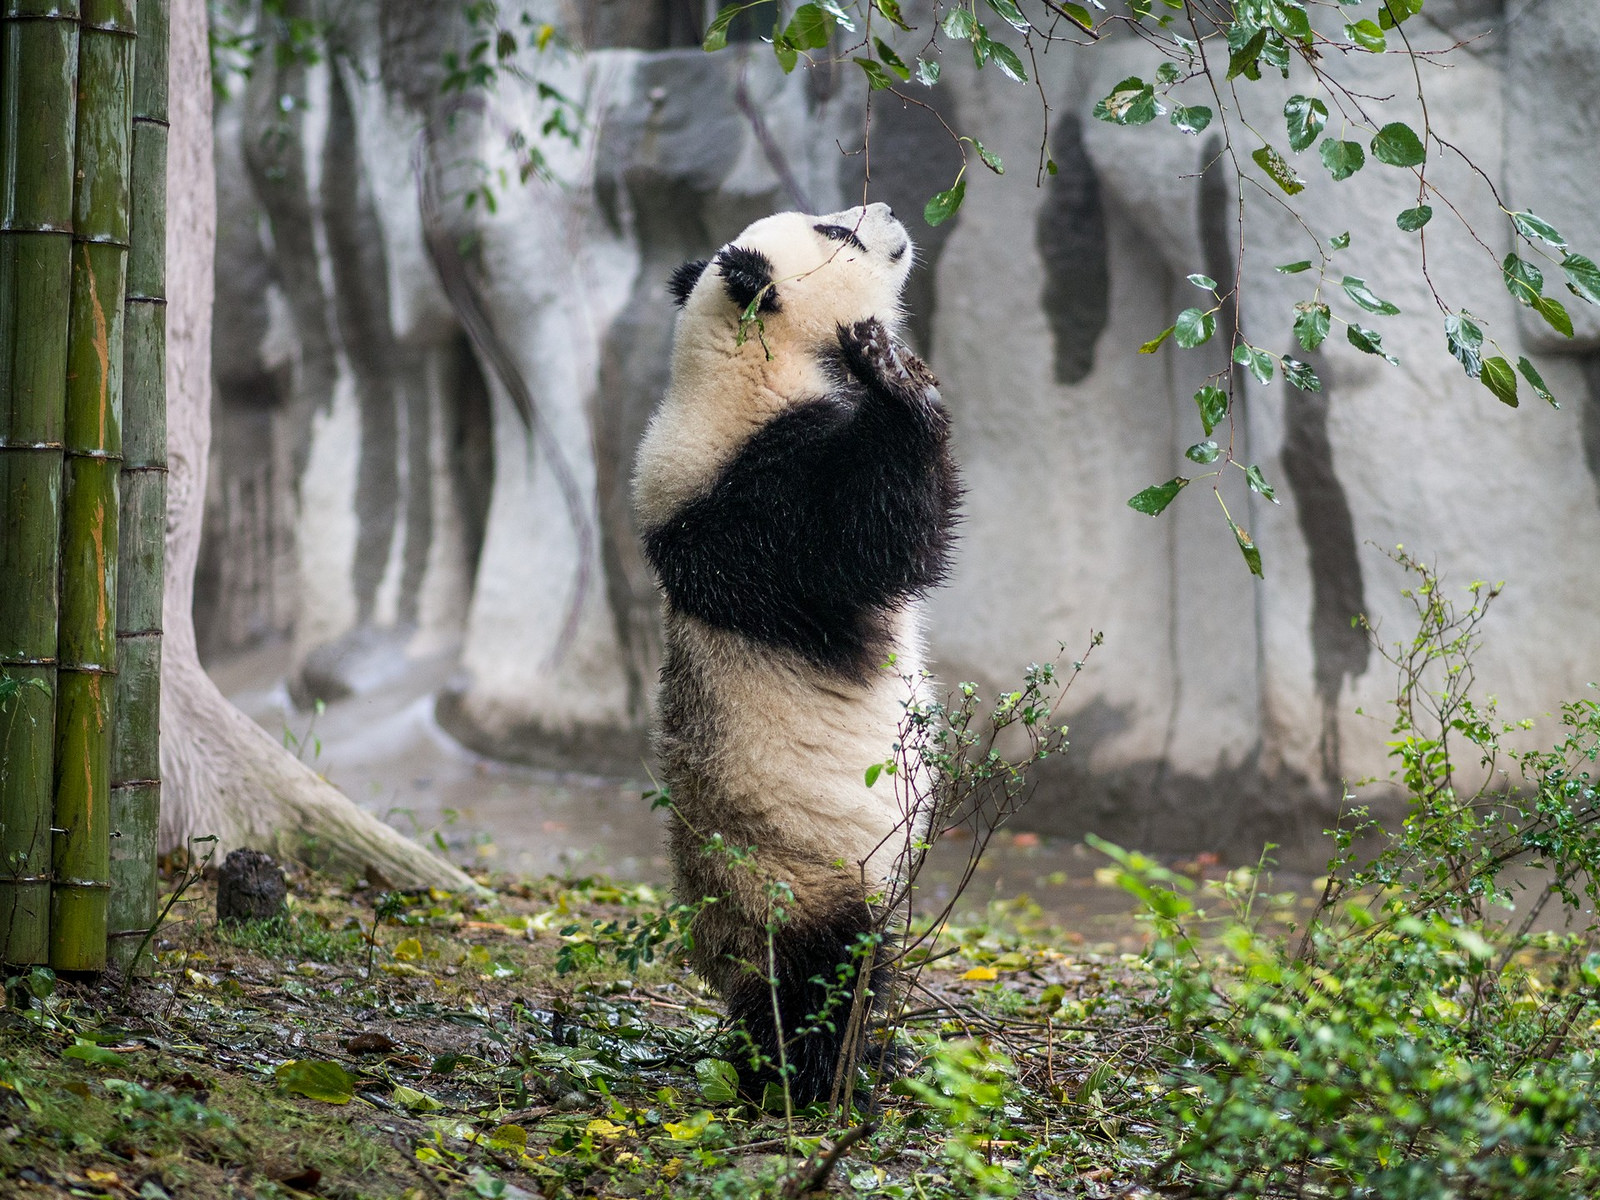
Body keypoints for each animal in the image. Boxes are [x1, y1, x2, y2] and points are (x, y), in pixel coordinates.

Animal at [632, 202, 961, 1105]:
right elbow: (876, 541)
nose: (888, 213)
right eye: (833, 232)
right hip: (791, 871)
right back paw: (819, 1080)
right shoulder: (754, 501)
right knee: (820, 973)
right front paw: (897, 380)